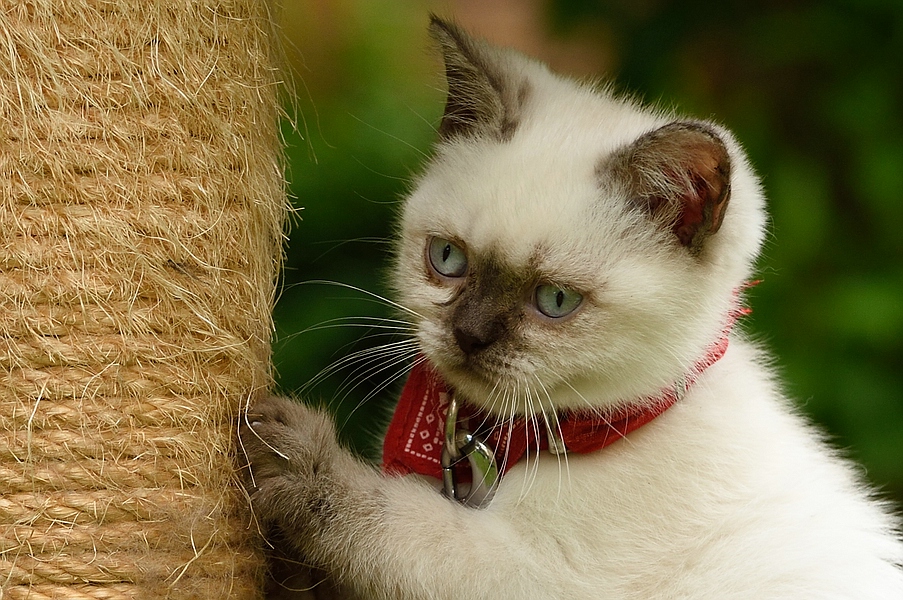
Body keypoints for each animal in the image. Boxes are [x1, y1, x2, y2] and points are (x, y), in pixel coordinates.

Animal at [240, 16, 903, 596]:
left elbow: (394, 528)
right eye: (447, 259)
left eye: (554, 300)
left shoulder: (531, 574)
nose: (469, 335)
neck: (511, 446)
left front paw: (287, 453)